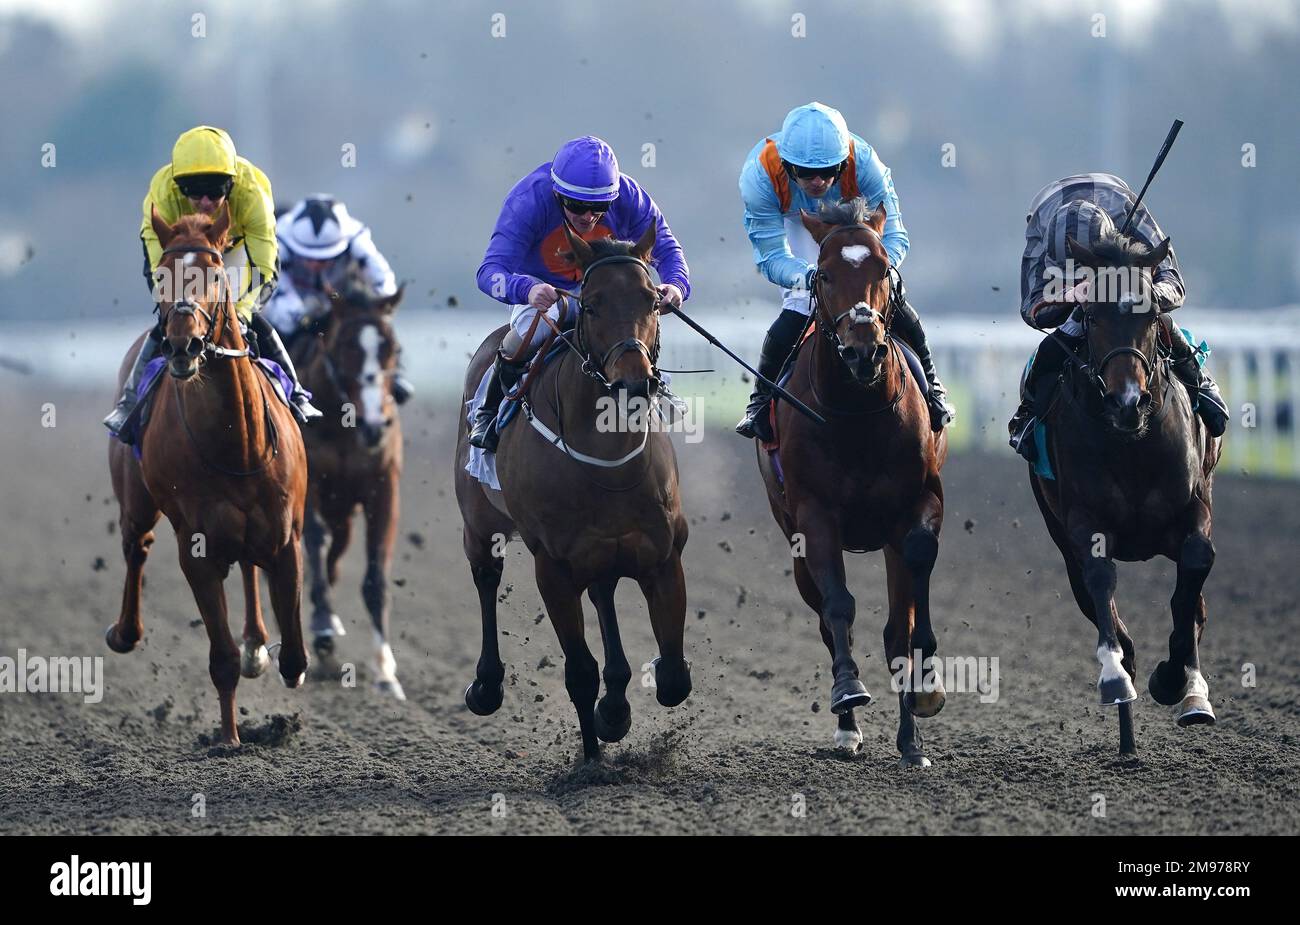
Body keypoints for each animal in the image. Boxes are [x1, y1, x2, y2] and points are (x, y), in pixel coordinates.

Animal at [107, 206, 309, 748]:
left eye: (216, 275)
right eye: (162, 275)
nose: (183, 344)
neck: (237, 444)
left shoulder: (286, 536)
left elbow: (294, 653)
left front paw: (277, 660)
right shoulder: (196, 550)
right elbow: (221, 659)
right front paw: (228, 739)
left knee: (249, 567)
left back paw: (257, 644)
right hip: (135, 501)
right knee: (136, 546)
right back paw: (124, 632)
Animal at [293, 285, 405, 696]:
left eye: (392, 347)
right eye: (344, 346)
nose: (374, 424)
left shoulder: (383, 488)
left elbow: (374, 578)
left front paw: (385, 671)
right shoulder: (307, 485)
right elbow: (313, 543)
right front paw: (324, 624)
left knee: (335, 559)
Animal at [454, 220, 696, 763]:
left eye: (653, 300)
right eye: (590, 304)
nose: (633, 384)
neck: (606, 460)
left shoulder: (663, 555)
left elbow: (674, 676)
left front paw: (617, 709)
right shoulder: (554, 568)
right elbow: (580, 672)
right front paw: (591, 758)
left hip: (603, 552)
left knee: (604, 593)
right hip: (480, 523)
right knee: (484, 578)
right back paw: (486, 685)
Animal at [759, 200, 951, 763]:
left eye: (884, 268)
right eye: (822, 274)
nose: (863, 350)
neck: (860, 414)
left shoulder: (920, 502)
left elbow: (913, 585)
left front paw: (926, 686)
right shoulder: (814, 516)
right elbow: (839, 604)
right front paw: (848, 690)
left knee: (894, 628)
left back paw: (910, 741)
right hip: (793, 536)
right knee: (825, 617)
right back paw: (847, 729)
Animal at [1029, 229, 1222, 753]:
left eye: (1152, 314)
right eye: (1092, 316)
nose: (1127, 402)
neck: (1132, 445)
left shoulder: (1194, 505)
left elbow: (1194, 570)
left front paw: (1178, 681)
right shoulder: (1083, 523)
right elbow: (1101, 583)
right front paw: (1118, 677)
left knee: (1195, 605)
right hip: (1058, 535)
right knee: (1098, 605)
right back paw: (1127, 730)